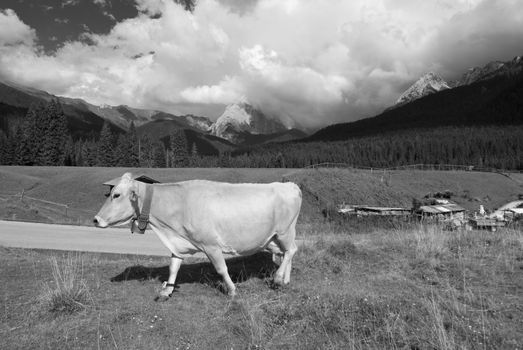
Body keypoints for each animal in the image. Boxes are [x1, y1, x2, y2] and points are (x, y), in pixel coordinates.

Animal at [92, 172, 300, 298]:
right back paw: (286, 279)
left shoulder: (211, 245)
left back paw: (278, 278)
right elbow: (173, 267)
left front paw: (232, 290)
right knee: (286, 253)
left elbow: (221, 269)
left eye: (116, 195)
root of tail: (290, 185)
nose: (95, 219)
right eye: (111, 192)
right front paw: (167, 290)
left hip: (284, 231)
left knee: (292, 250)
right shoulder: (178, 243)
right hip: (273, 238)